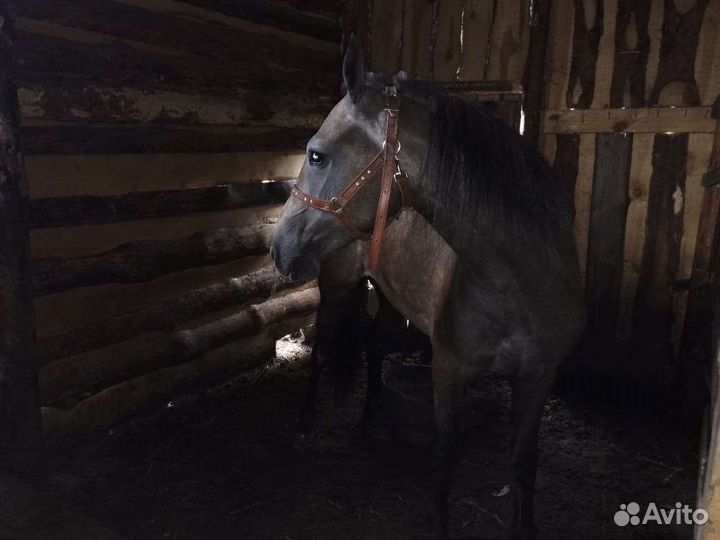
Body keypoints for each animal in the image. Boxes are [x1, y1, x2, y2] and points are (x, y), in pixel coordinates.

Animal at [270, 38, 585, 539]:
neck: (517, 281)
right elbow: (445, 454)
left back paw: (372, 419)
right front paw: (438, 522)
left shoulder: (539, 378)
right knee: (321, 351)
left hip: (389, 299)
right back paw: (305, 423)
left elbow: (522, 465)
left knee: (374, 348)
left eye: (316, 154)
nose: (277, 247)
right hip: (337, 287)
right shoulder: (449, 370)